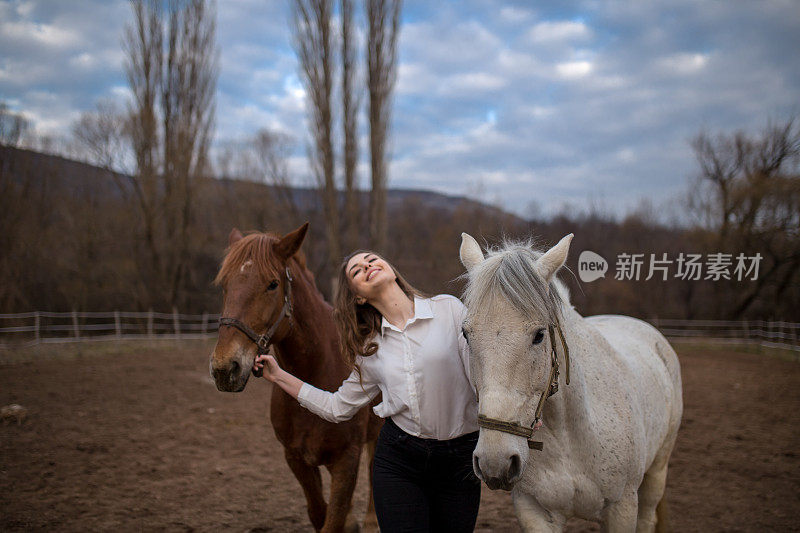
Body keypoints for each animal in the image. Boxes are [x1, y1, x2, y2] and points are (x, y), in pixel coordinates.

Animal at [206, 222, 382, 528]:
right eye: (225, 284)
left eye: (272, 284)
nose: (225, 368)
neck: (315, 373)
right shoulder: (296, 458)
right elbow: (319, 513)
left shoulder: (347, 460)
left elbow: (333, 519)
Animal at [460, 233, 680, 532]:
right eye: (466, 334)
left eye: (539, 335)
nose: (496, 462)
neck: (569, 435)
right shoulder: (534, 510)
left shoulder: (622, 507)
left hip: (656, 472)